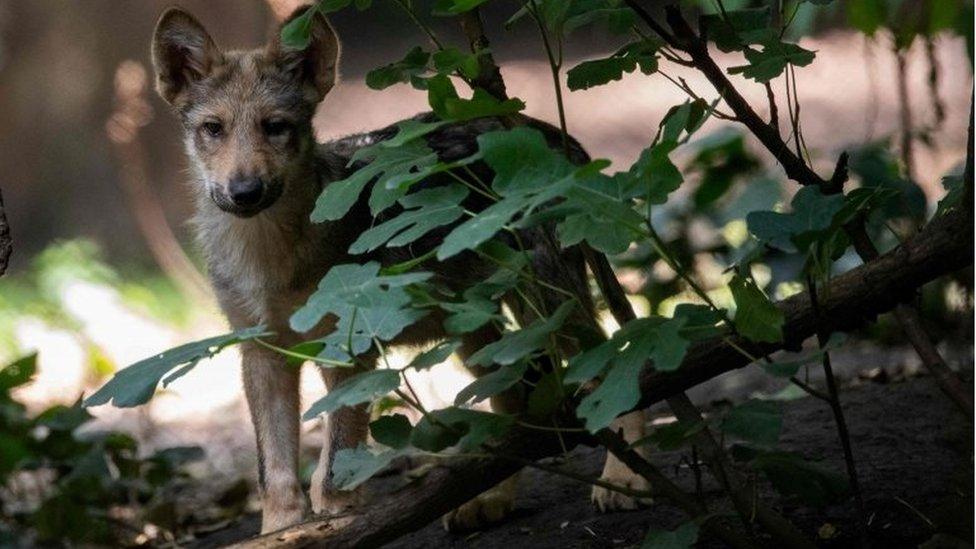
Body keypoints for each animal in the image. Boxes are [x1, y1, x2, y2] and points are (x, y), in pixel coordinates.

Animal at [152, 5, 652, 536]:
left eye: (275, 127)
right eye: (214, 129)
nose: (245, 192)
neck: (268, 255)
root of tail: (549, 132)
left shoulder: (346, 354)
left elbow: (334, 469)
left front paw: (338, 525)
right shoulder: (263, 353)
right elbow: (276, 476)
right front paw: (280, 533)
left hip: (550, 305)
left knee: (613, 365)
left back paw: (625, 478)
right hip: (479, 330)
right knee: (515, 404)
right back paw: (490, 498)